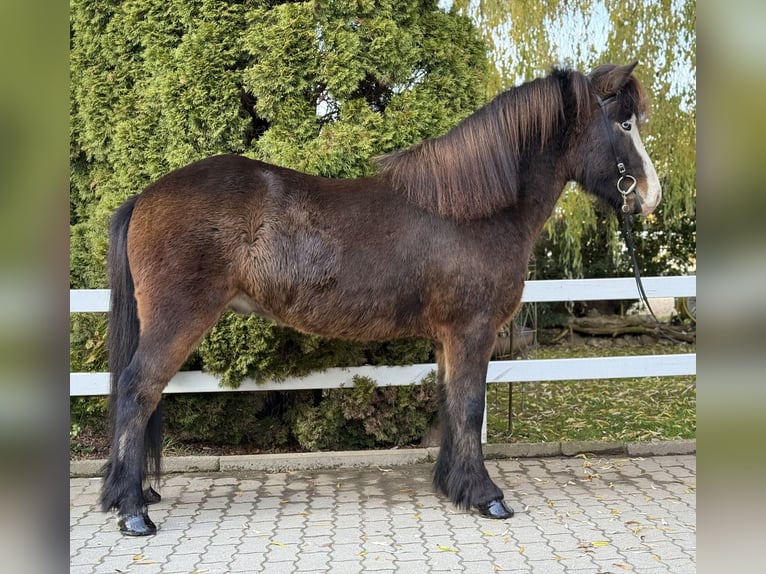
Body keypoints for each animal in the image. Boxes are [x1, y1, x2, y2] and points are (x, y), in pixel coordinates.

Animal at [101, 62, 661, 535]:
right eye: (624, 124)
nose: (650, 196)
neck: (473, 209)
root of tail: (145, 196)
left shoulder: (448, 337)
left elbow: (450, 403)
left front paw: (451, 486)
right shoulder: (472, 330)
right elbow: (470, 405)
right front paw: (486, 496)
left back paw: (134, 496)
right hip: (177, 320)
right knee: (137, 391)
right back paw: (133, 513)